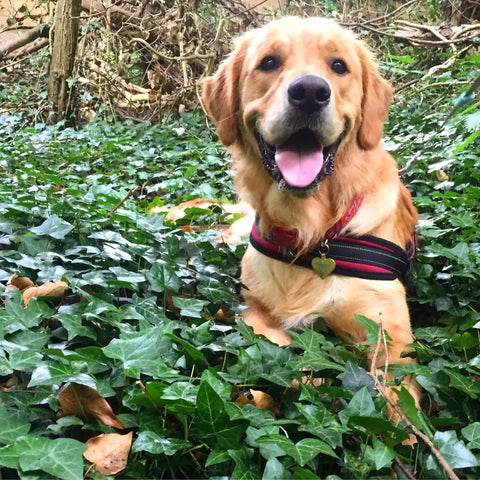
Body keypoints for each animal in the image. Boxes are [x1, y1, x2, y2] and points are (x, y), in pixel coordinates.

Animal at [202, 15, 420, 408]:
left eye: (339, 66)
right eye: (269, 62)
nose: (309, 92)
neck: (313, 232)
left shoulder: (391, 336)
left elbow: (395, 401)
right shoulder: (253, 308)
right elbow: (278, 350)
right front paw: (307, 377)